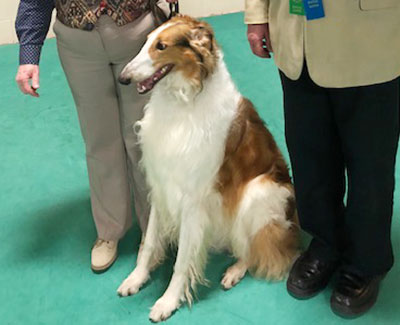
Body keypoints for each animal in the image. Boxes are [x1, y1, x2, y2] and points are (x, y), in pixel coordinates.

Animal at [117, 15, 298, 322]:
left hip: (256, 194)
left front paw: (167, 302)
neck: (183, 103)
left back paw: (234, 272)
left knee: (256, 249)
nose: (123, 78)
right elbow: (150, 242)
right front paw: (136, 278)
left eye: (162, 46)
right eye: (146, 41)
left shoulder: (192, 199)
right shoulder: (161, 186)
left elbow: (181, 263)